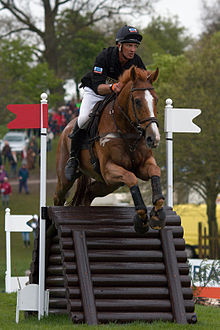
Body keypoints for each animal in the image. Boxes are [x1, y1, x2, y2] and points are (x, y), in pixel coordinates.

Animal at [54, 65, 166, 233]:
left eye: (156, 100)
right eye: (137, 101)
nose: (153, 138)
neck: (127, 131)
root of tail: (66, 128)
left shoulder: (142, 165)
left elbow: (155, 171)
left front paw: (157, 216)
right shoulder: (109, 169)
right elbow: (131, 178)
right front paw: (141, 219)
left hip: (107, 185)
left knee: (88, 193)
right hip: (66, 179)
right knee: (58, 197)